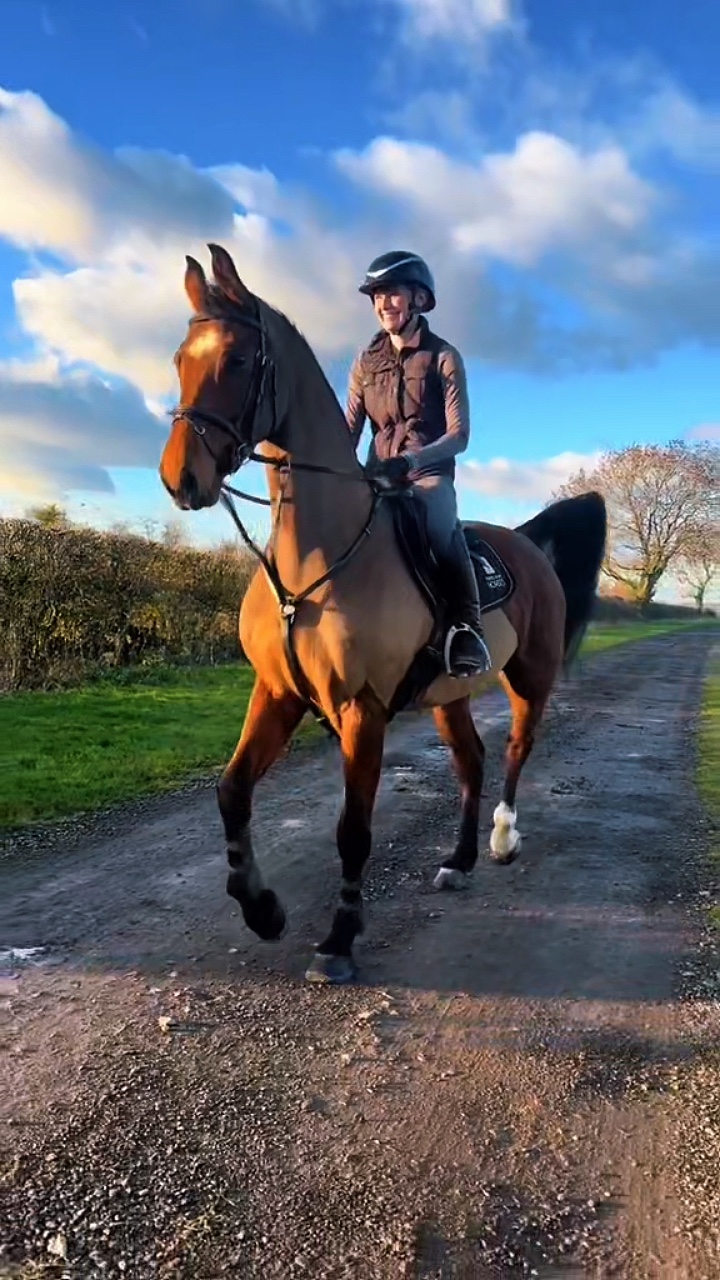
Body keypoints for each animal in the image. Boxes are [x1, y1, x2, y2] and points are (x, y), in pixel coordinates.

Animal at [159, 243, 607, 984]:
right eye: (179, 359)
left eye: (241, 360)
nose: (179, 479)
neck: (312, 562)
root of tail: (526, 542)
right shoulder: (276, 692)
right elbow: (231, 792)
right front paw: (263, 909)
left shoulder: (360, 709)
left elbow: (353, 829)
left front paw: (339, 940)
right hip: (448, 694)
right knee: (472, 761)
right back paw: (458, 861)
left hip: (529, 678)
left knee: (515, 750)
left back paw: (503, 838)